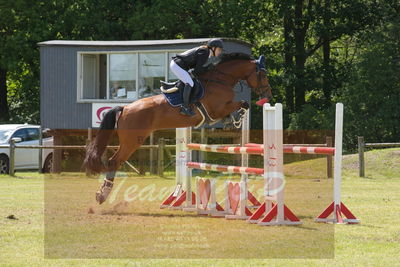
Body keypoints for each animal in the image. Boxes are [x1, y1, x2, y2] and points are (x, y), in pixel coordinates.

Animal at [84, 54, 272, 205]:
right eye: (263, 74)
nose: (268, 95)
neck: (220, 80)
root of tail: (124, 108)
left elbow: (239, 106)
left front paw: (233, 120)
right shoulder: (216, 110)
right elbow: (243, 104)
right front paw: (237, 117)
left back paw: (102, 193)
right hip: (133, 141)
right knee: (114, 161)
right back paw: (103, 195)